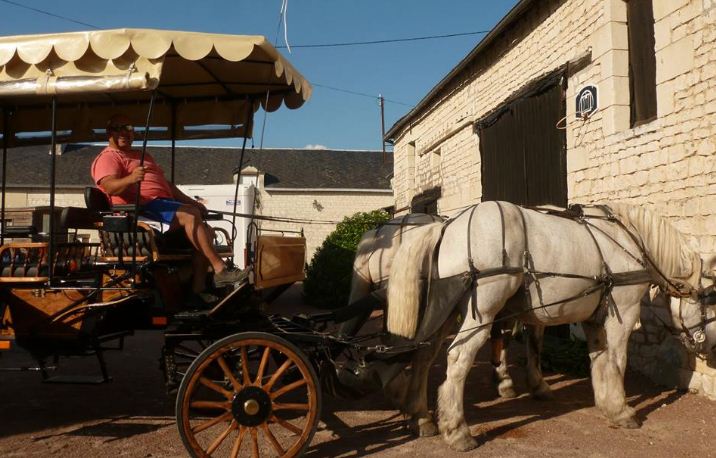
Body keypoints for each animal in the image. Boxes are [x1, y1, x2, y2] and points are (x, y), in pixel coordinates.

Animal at [386, 201, 716, 450]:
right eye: (709, 296)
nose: (708, 345)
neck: (630, 239)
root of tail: (447, 225)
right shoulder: (623, 311)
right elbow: (617, 361)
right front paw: (622, 411)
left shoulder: (594, 319)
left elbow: (600, 361)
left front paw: (605, 403)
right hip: (481, 311)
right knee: (457, 359)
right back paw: (457, 431)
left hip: (445, 308)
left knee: (424, 355)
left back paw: (420, 417)